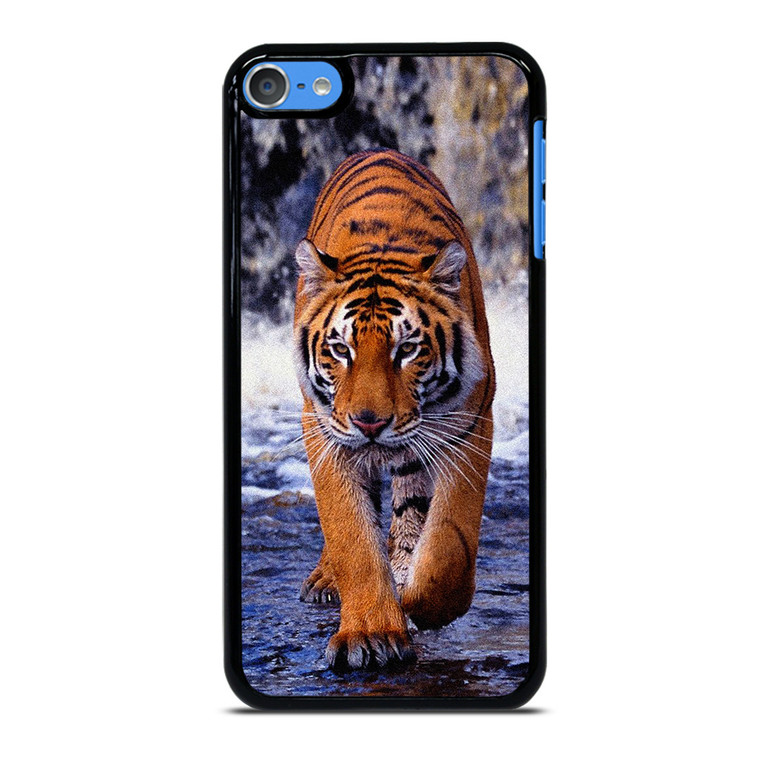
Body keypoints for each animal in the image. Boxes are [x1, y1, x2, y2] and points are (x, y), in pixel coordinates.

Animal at [293, 148, 495, 670]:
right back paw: (327, 579)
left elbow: (448, 543)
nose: (370, 422)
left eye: (407, 349)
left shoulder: (469, 424)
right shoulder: (325, 431)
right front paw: (371, 634)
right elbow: (351, 534)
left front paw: (420, 603)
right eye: (340, 349)